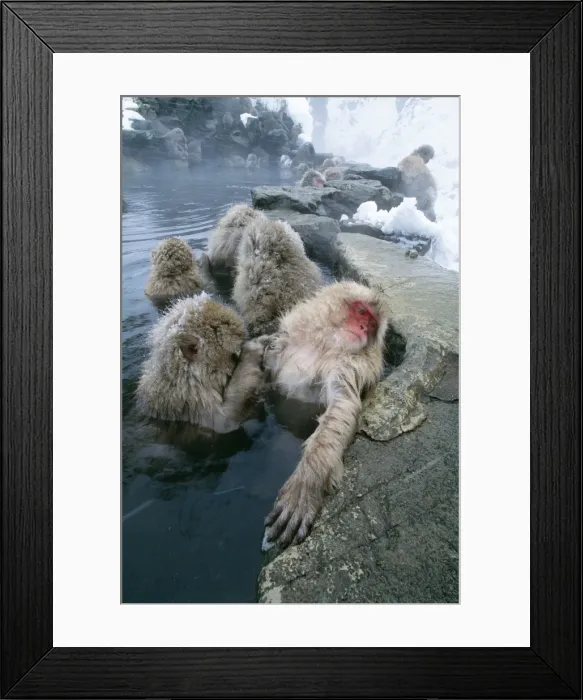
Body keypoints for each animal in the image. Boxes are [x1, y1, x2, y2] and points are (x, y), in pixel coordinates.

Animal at [261, 281, 390, 550]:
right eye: (361, 311)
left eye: (373, 324)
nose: (364, 328)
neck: (325, 346)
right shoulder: (284, 342)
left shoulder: (350, 367)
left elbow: (343, 405)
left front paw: (306, 485)